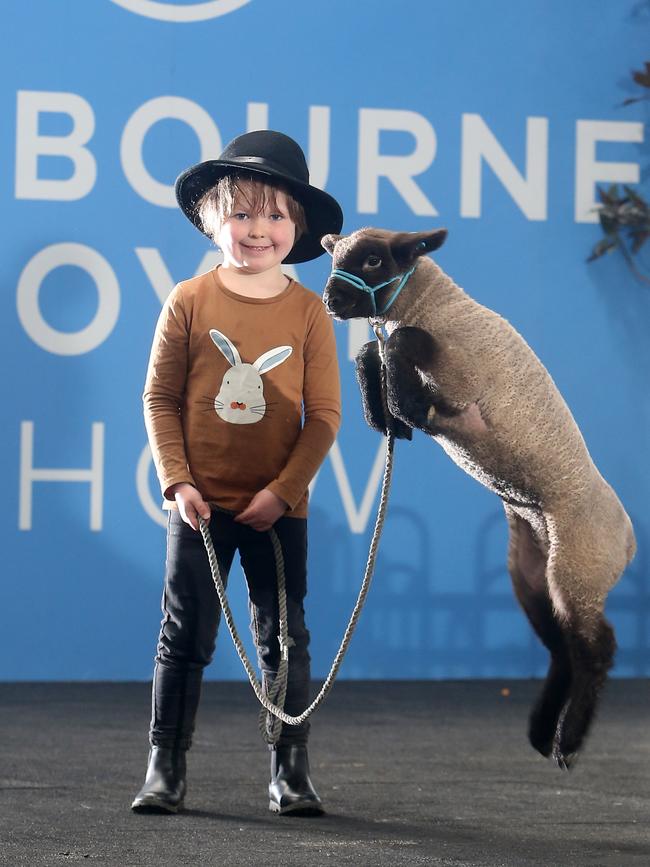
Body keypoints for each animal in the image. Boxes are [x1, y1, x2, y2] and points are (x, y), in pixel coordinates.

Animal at [318, 227, 632, 768]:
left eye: (375, 260)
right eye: (335, 255)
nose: (331, 299)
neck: (438, 306)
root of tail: (629, 539)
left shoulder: (461, 380)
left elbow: (402, 343)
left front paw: (403, 407)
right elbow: (370, 354)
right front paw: (386, 414)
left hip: (581, 569)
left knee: (596, 649)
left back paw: (568, 743)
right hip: (532, 574)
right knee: (562, 648)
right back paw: (542, 732)